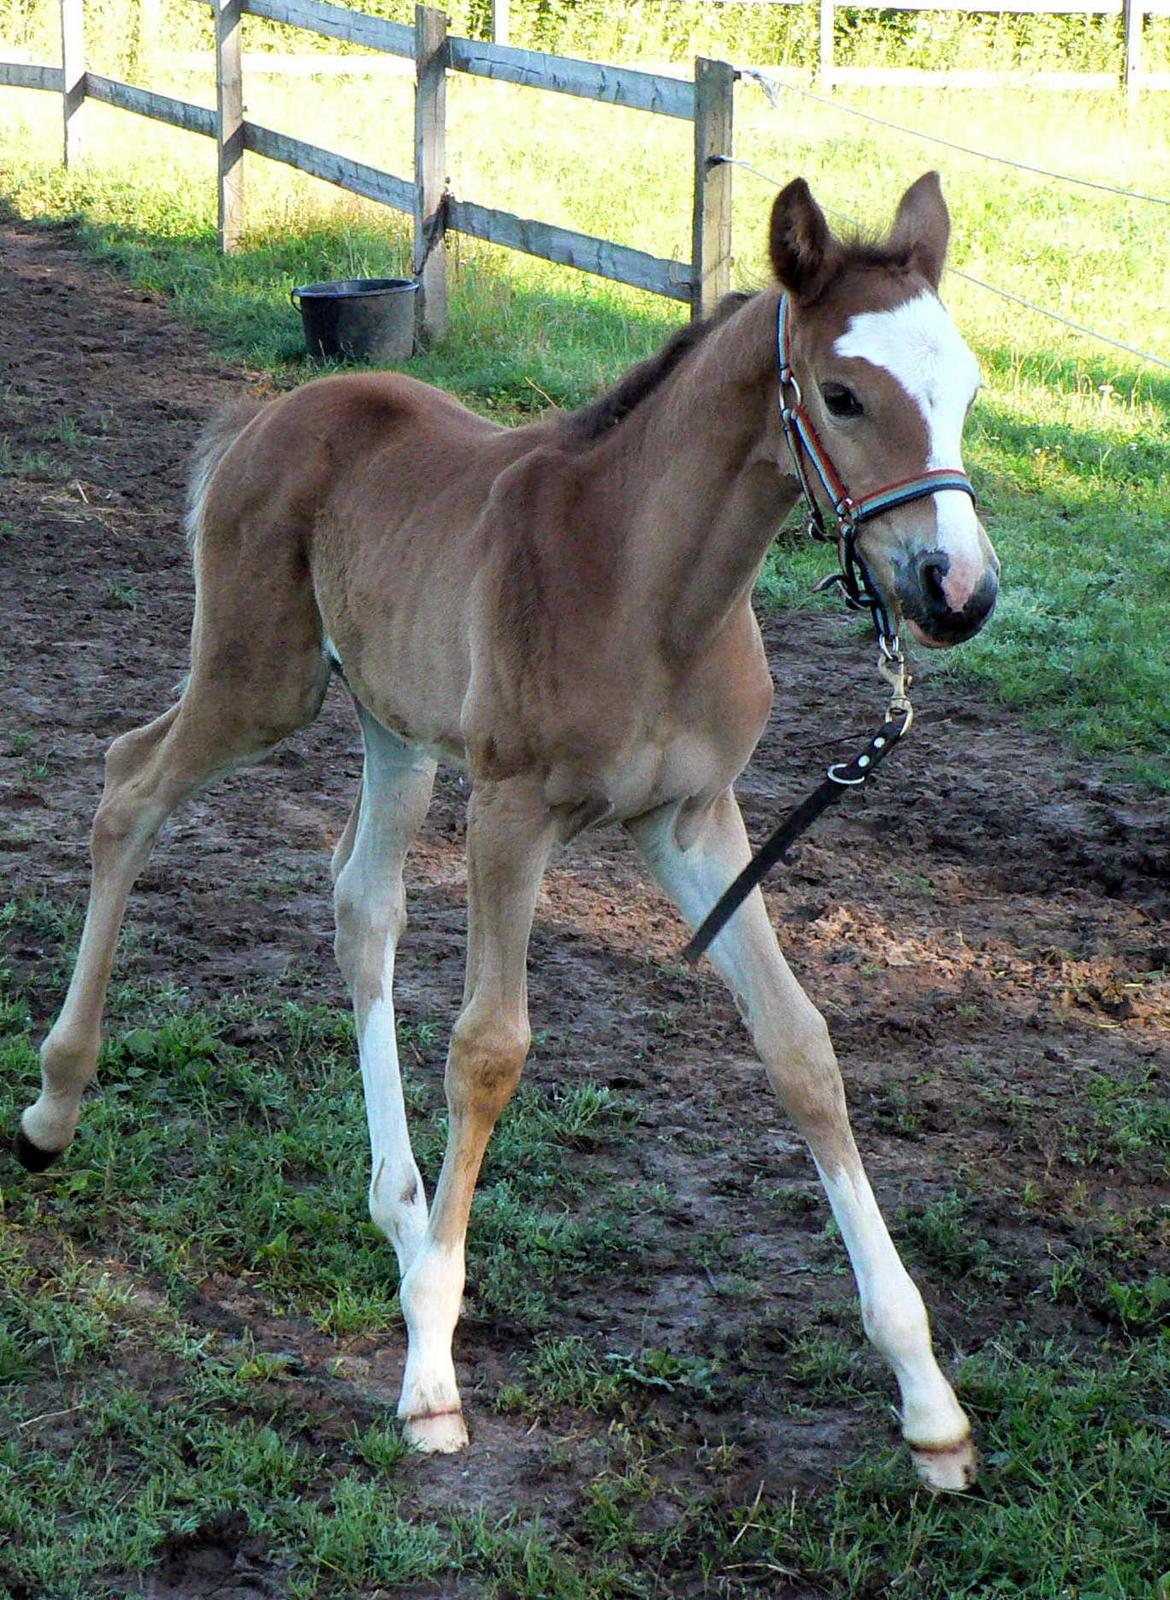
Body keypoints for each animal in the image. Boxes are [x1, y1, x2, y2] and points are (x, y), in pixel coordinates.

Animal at [20, 172, 998, 1484]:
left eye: (968, 388)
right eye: (842, 394)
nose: (961, 590)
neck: (651, 588)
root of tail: (277, 414)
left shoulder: (697, 822)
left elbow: (801, 1047)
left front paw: (928, 1398)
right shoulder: (511, 810)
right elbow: (489, 1049)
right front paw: (431, 1376)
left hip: (389, 722)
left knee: (360, 901)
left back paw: (399, 1215)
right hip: (261, 681)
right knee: (129, 788)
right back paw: (54, 1108)